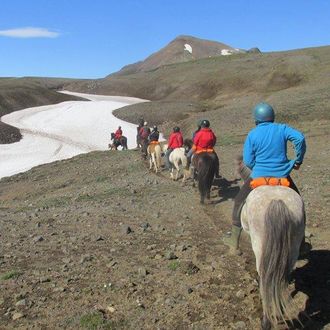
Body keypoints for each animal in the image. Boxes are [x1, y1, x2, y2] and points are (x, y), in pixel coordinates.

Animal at [240, 184, 306, 328]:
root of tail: (277, 201)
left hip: (260, 248)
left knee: (265, 280)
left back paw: (266, 321)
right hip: (292, 250)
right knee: (281, 279)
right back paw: (278, 312)